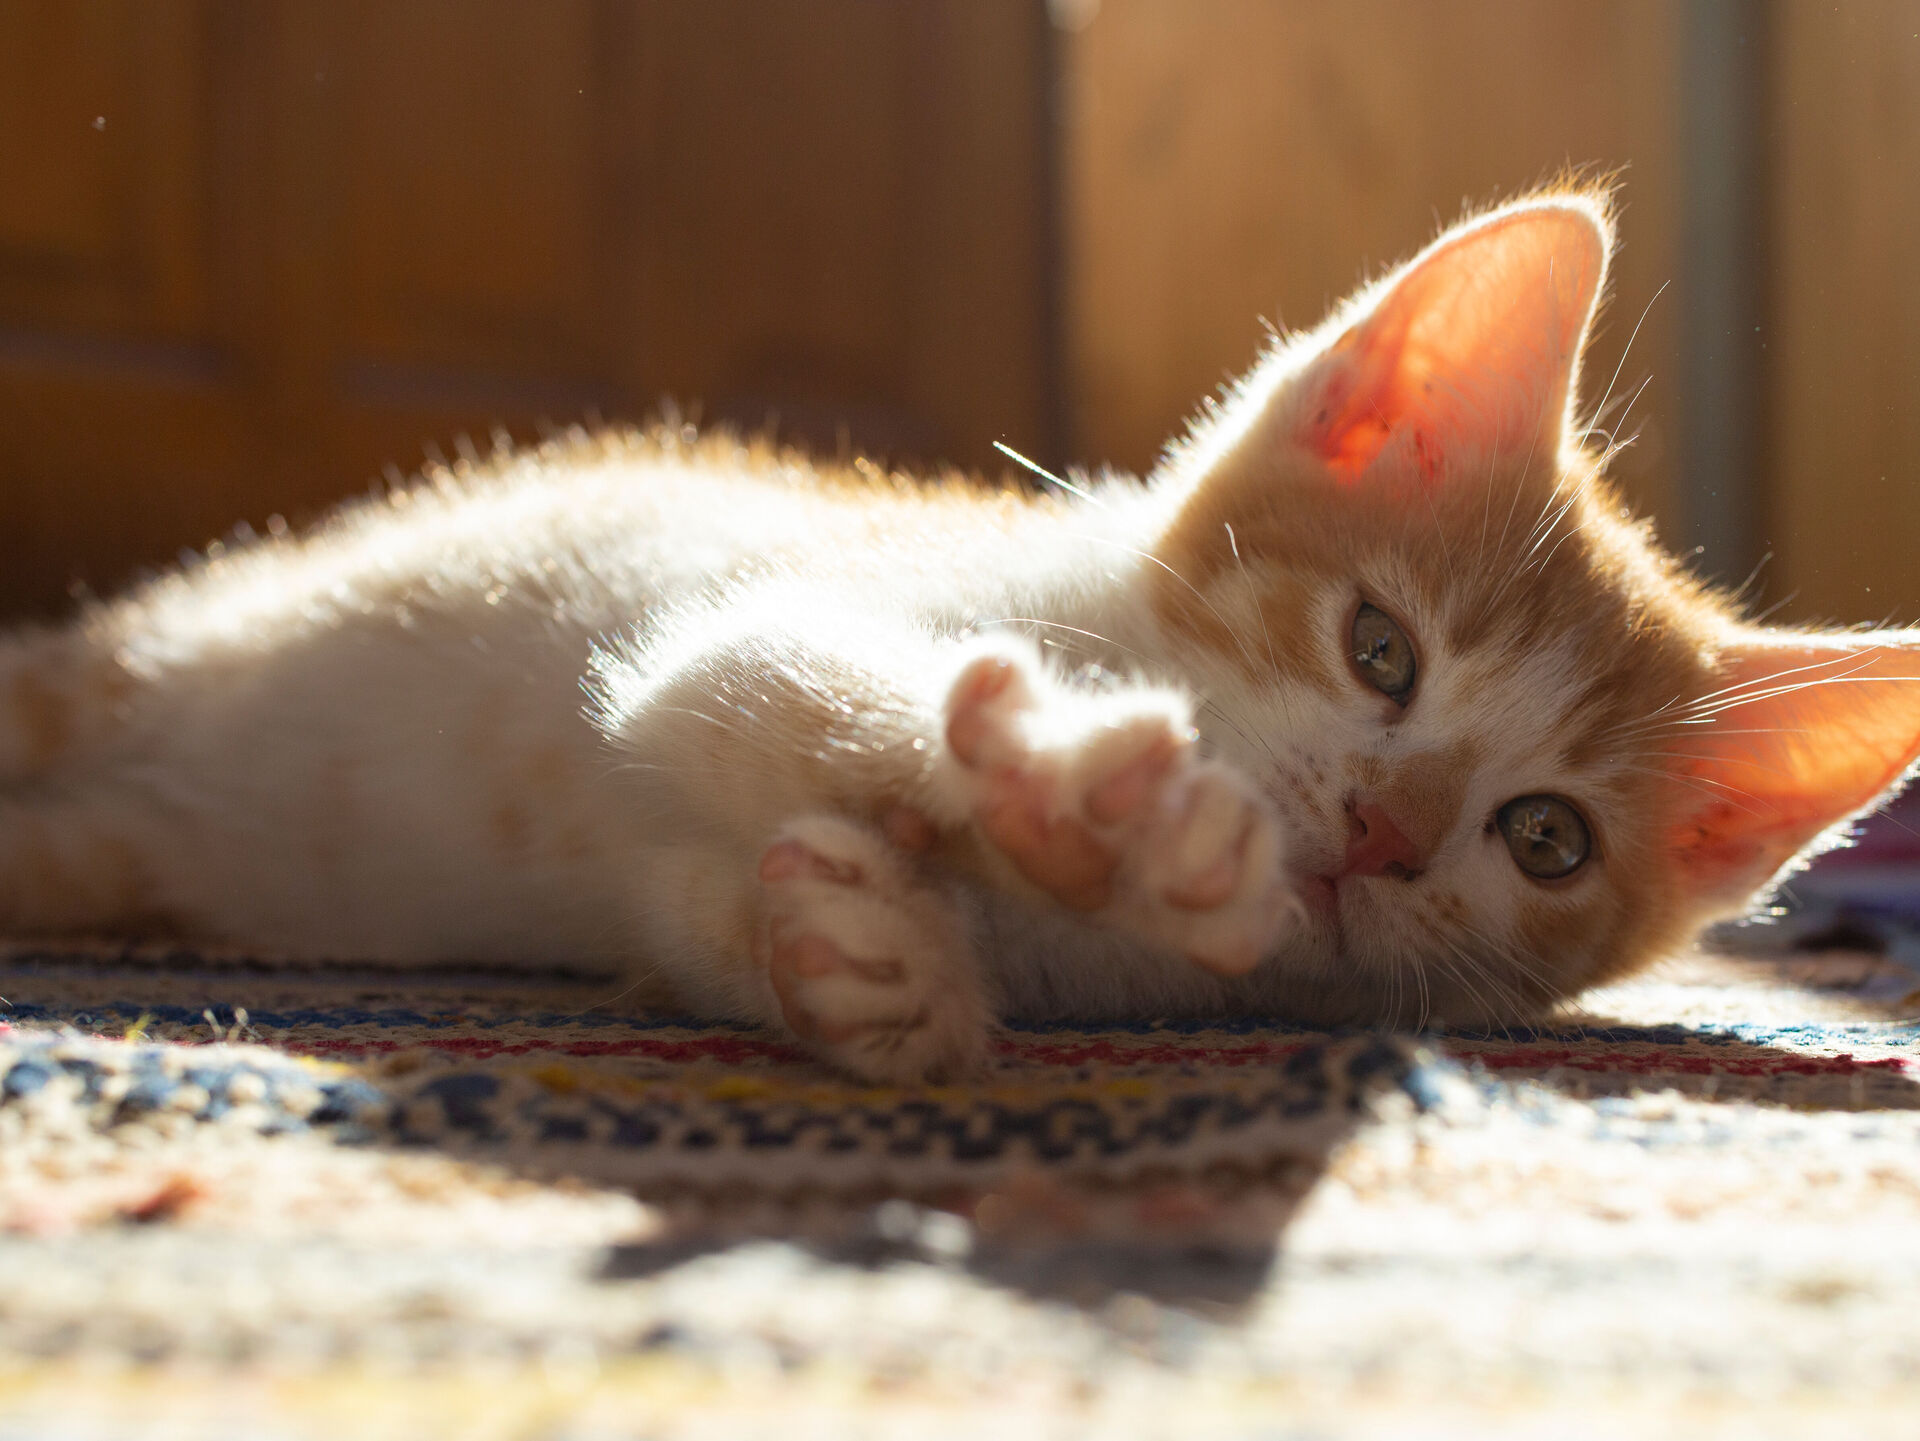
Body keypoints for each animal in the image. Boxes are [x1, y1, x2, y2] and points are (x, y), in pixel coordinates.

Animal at [3, 197, 1920, 1089]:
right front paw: (1091, 791)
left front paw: (863, 963)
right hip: (135, 664)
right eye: (1382, 650)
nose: (1384, 833)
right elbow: (756, 676)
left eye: (1546, 838)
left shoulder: (659, 883)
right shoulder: (761, 610)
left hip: (129, 849)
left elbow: (701, 903)